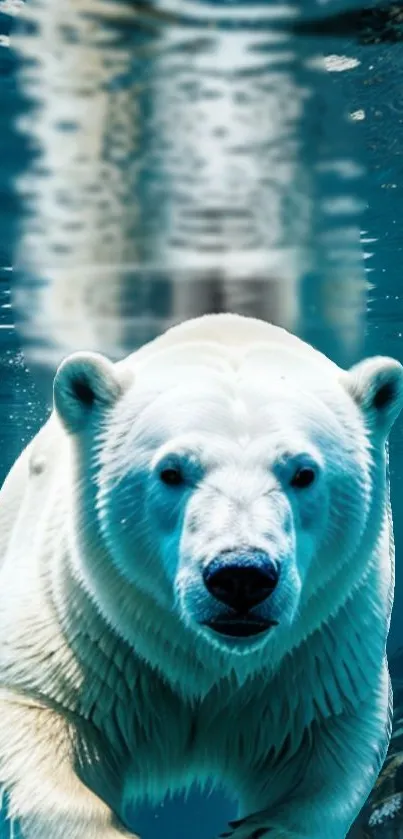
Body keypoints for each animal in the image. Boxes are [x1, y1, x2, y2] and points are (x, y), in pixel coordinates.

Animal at [0, 316, 400, 839]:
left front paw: (259, 828)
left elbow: (331, 745)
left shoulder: (320, 650)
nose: (241, 576)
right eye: (171, 471)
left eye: (304, 472)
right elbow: (40, 717)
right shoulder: (83, 626)